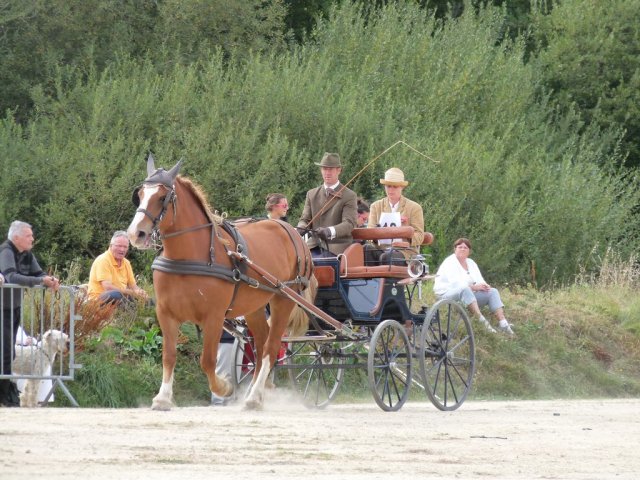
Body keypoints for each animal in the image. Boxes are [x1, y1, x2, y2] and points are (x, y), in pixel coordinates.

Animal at [126, 154, 316, 410]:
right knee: (260, 343)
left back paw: (254, 397)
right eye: (140, 194)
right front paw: (163, 398)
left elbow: (207, 361)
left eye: (162, 197)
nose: (135, 233)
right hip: (254, 307)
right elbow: (169, 356)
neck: (189, 255)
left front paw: (224, 387)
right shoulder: (166, 313)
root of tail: (292, 231)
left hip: (283, 300)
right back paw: (255, 392)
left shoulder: (214, 316)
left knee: (270, 347)